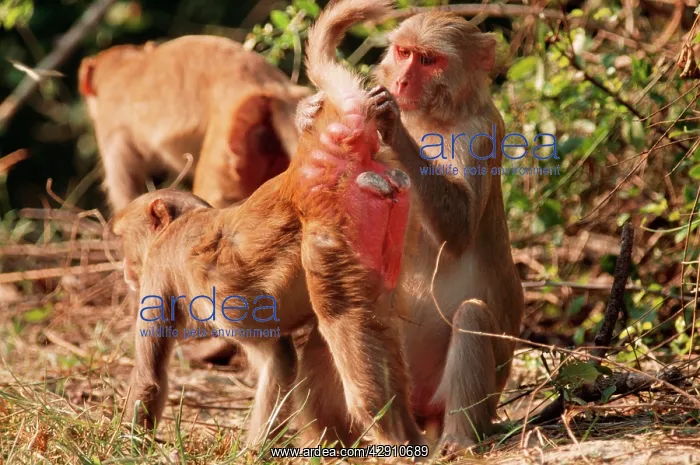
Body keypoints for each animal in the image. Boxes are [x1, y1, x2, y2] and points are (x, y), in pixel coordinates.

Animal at [112, 8, 425, 447]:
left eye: (124, 239)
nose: (125, 270)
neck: (185, 222)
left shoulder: (158, 268)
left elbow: (153, 376)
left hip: (332, 234)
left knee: (341, 318)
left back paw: (393, 436)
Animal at [296, 4, 526, 451]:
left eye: (428, 60)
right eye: (403, 53)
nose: (401, 82)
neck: (433, 115)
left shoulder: (482, 133)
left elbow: (460, 230)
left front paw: (393, 124)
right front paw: (306, 113)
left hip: (469, 394)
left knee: (472, 317)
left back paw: (457, 439)